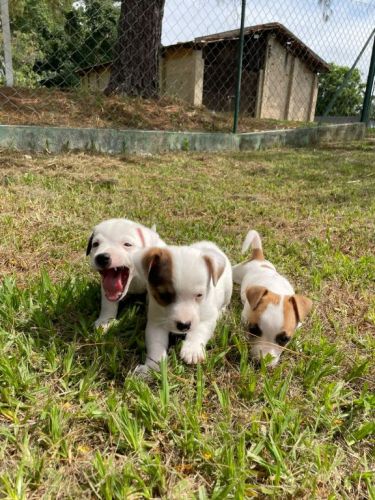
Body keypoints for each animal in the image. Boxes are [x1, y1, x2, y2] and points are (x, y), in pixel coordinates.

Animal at [132, 240, 232, 374]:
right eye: (164, 295)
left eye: (199, 295)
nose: (184, 325)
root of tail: (209, 244)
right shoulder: (156, 322)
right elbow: (156, 343)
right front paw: (153, 365)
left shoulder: (207, 318)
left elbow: (199, 331)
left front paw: (192, 350)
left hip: (228, 290)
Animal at [234, 230, 312, 368]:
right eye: (253, 330)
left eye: (284, 339)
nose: (261, 363)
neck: (277, 291)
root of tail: (258, 259)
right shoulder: (245, 317)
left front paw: (298, 345)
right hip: (236, 271)